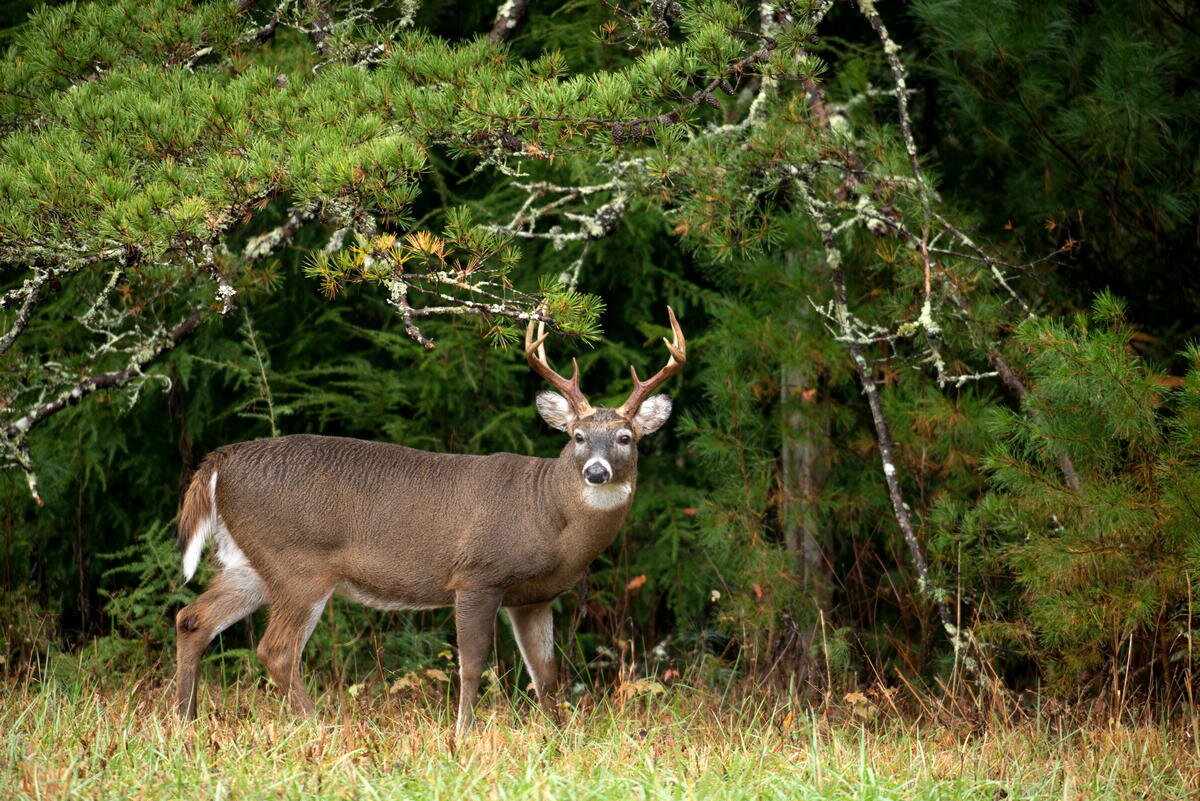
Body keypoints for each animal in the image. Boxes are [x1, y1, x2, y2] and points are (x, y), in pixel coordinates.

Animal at [174, 309, 691, 733]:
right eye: (577, 436)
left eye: (625, 438)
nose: (596, 471)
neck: (549, 517)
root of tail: (219, 463)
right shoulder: (477, 575)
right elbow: (473, 663)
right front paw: (463, 735)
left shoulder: (534, 597)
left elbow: (545, 675)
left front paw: (559, 737)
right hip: (297, 563)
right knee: (277, 650)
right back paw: (322, 727)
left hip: (250, 562)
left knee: (192, 618)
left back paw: (184, 722)